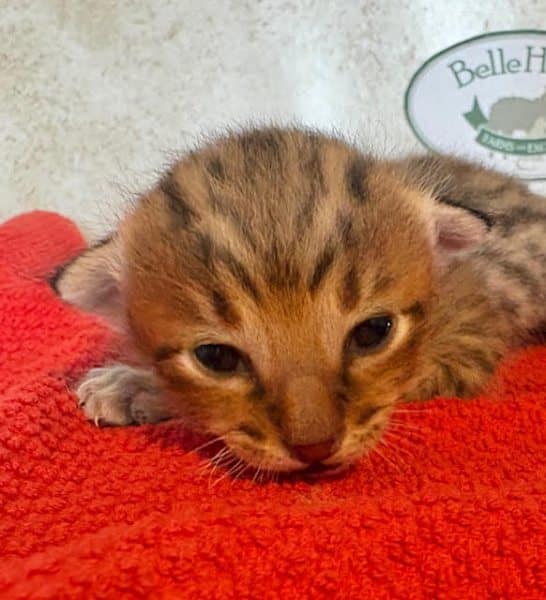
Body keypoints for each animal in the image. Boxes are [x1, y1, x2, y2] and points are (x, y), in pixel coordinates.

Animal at [53, 127, 546, 476]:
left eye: (373, 332)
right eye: (216, 357)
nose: (315, 449)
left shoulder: (465, 348)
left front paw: (137, 388)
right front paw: (134, 381)